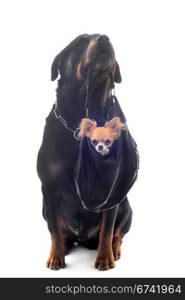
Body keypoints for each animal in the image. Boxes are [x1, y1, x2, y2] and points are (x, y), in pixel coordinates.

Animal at [36, 34, 134, 270]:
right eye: (80, 42)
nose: (104, 38)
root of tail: (84, 239)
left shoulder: (111, 193)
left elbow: (107, 229)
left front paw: (105, 258)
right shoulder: (48, 187)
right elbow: (53, 229)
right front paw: (55, 257)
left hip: (125, 205)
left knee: (118, 233)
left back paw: (114, 250)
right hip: (44, 206)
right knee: (60, 230)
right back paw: (65, 244)